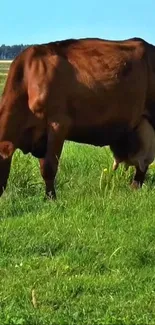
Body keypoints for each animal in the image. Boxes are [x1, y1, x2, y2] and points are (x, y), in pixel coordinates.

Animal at [0, 35, 154, 197]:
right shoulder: (42, 136)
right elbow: (43, 165)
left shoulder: (58, 125)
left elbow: (49, 167)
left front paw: (51, 198)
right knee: (142, 163)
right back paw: (134, 188)